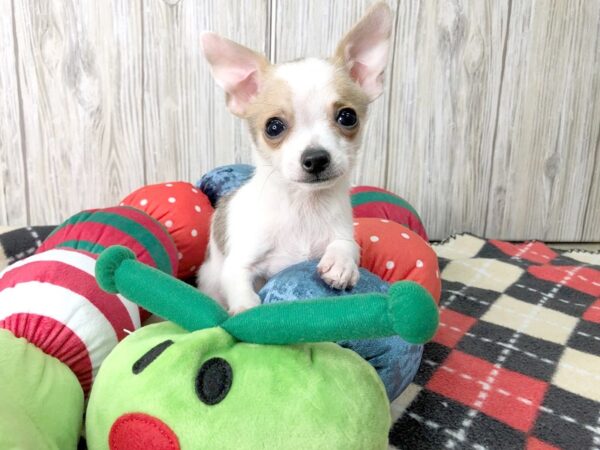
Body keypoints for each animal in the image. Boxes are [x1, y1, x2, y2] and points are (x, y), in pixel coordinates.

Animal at [197, 2, 394, 312]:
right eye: (273, 127)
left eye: (348, 117)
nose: (316, 158)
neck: (303, 206)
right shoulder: (238, 265)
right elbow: (241, 290)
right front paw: (247, 314)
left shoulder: (343, 232)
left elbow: (347, 245)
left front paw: (340, 263)